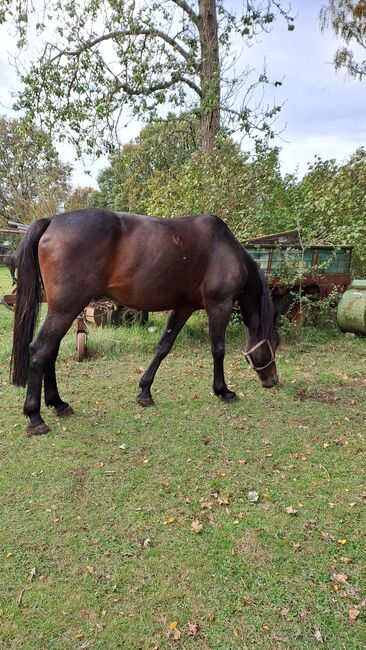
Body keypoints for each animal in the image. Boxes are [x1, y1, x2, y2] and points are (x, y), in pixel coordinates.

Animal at [12, 210, 280, 438]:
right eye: (274, 344)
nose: (273, 380)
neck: (225, 248)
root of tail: (52, 221)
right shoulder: (219, 306)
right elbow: (218, 349)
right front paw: (223, 390)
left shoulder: (184, 307)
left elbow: (164, 346)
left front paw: (144, 391)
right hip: (66, 308)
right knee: (40, 350)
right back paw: (35, 418)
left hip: (64, 310)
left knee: (51, 350)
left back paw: (58, 403)